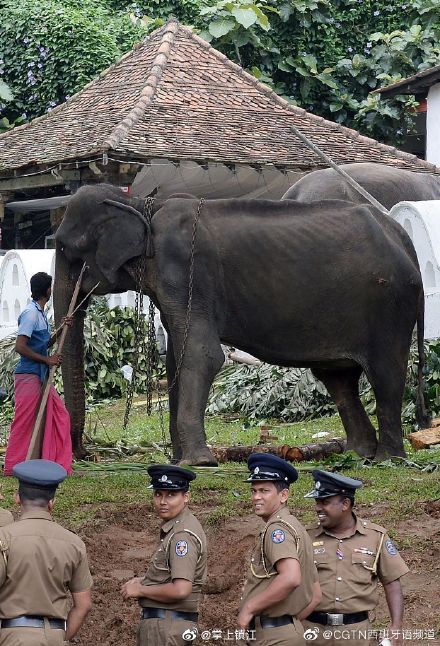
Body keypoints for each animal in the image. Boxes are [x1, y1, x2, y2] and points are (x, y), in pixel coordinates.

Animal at [55, 181, 430, 466]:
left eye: (65, 248)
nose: (84, 455)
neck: (143, 204)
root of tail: (403, 238)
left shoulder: (186, 271)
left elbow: (202, 355)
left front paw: (197, 462)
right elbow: (177, 359)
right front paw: (178, 461)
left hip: (389, 306)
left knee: (385, 374)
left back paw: (387, 459)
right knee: (338, 379)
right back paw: (357, 454)